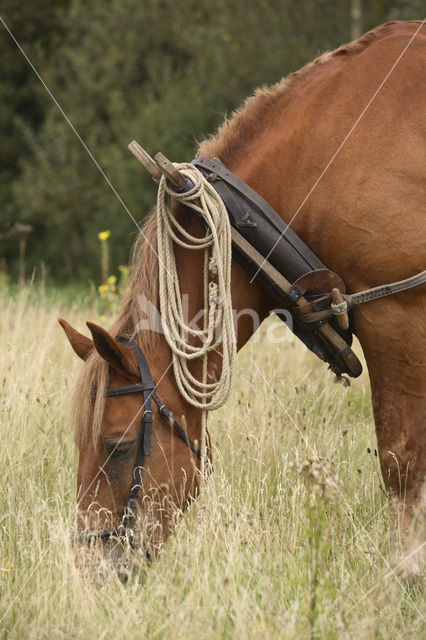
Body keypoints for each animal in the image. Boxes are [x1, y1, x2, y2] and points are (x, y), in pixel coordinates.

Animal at [60, 20, 426, 572]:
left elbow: (401, 464)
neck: (329, 152)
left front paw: (406, 572)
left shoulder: (398, 314)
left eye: (116, 446)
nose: (90, 565)